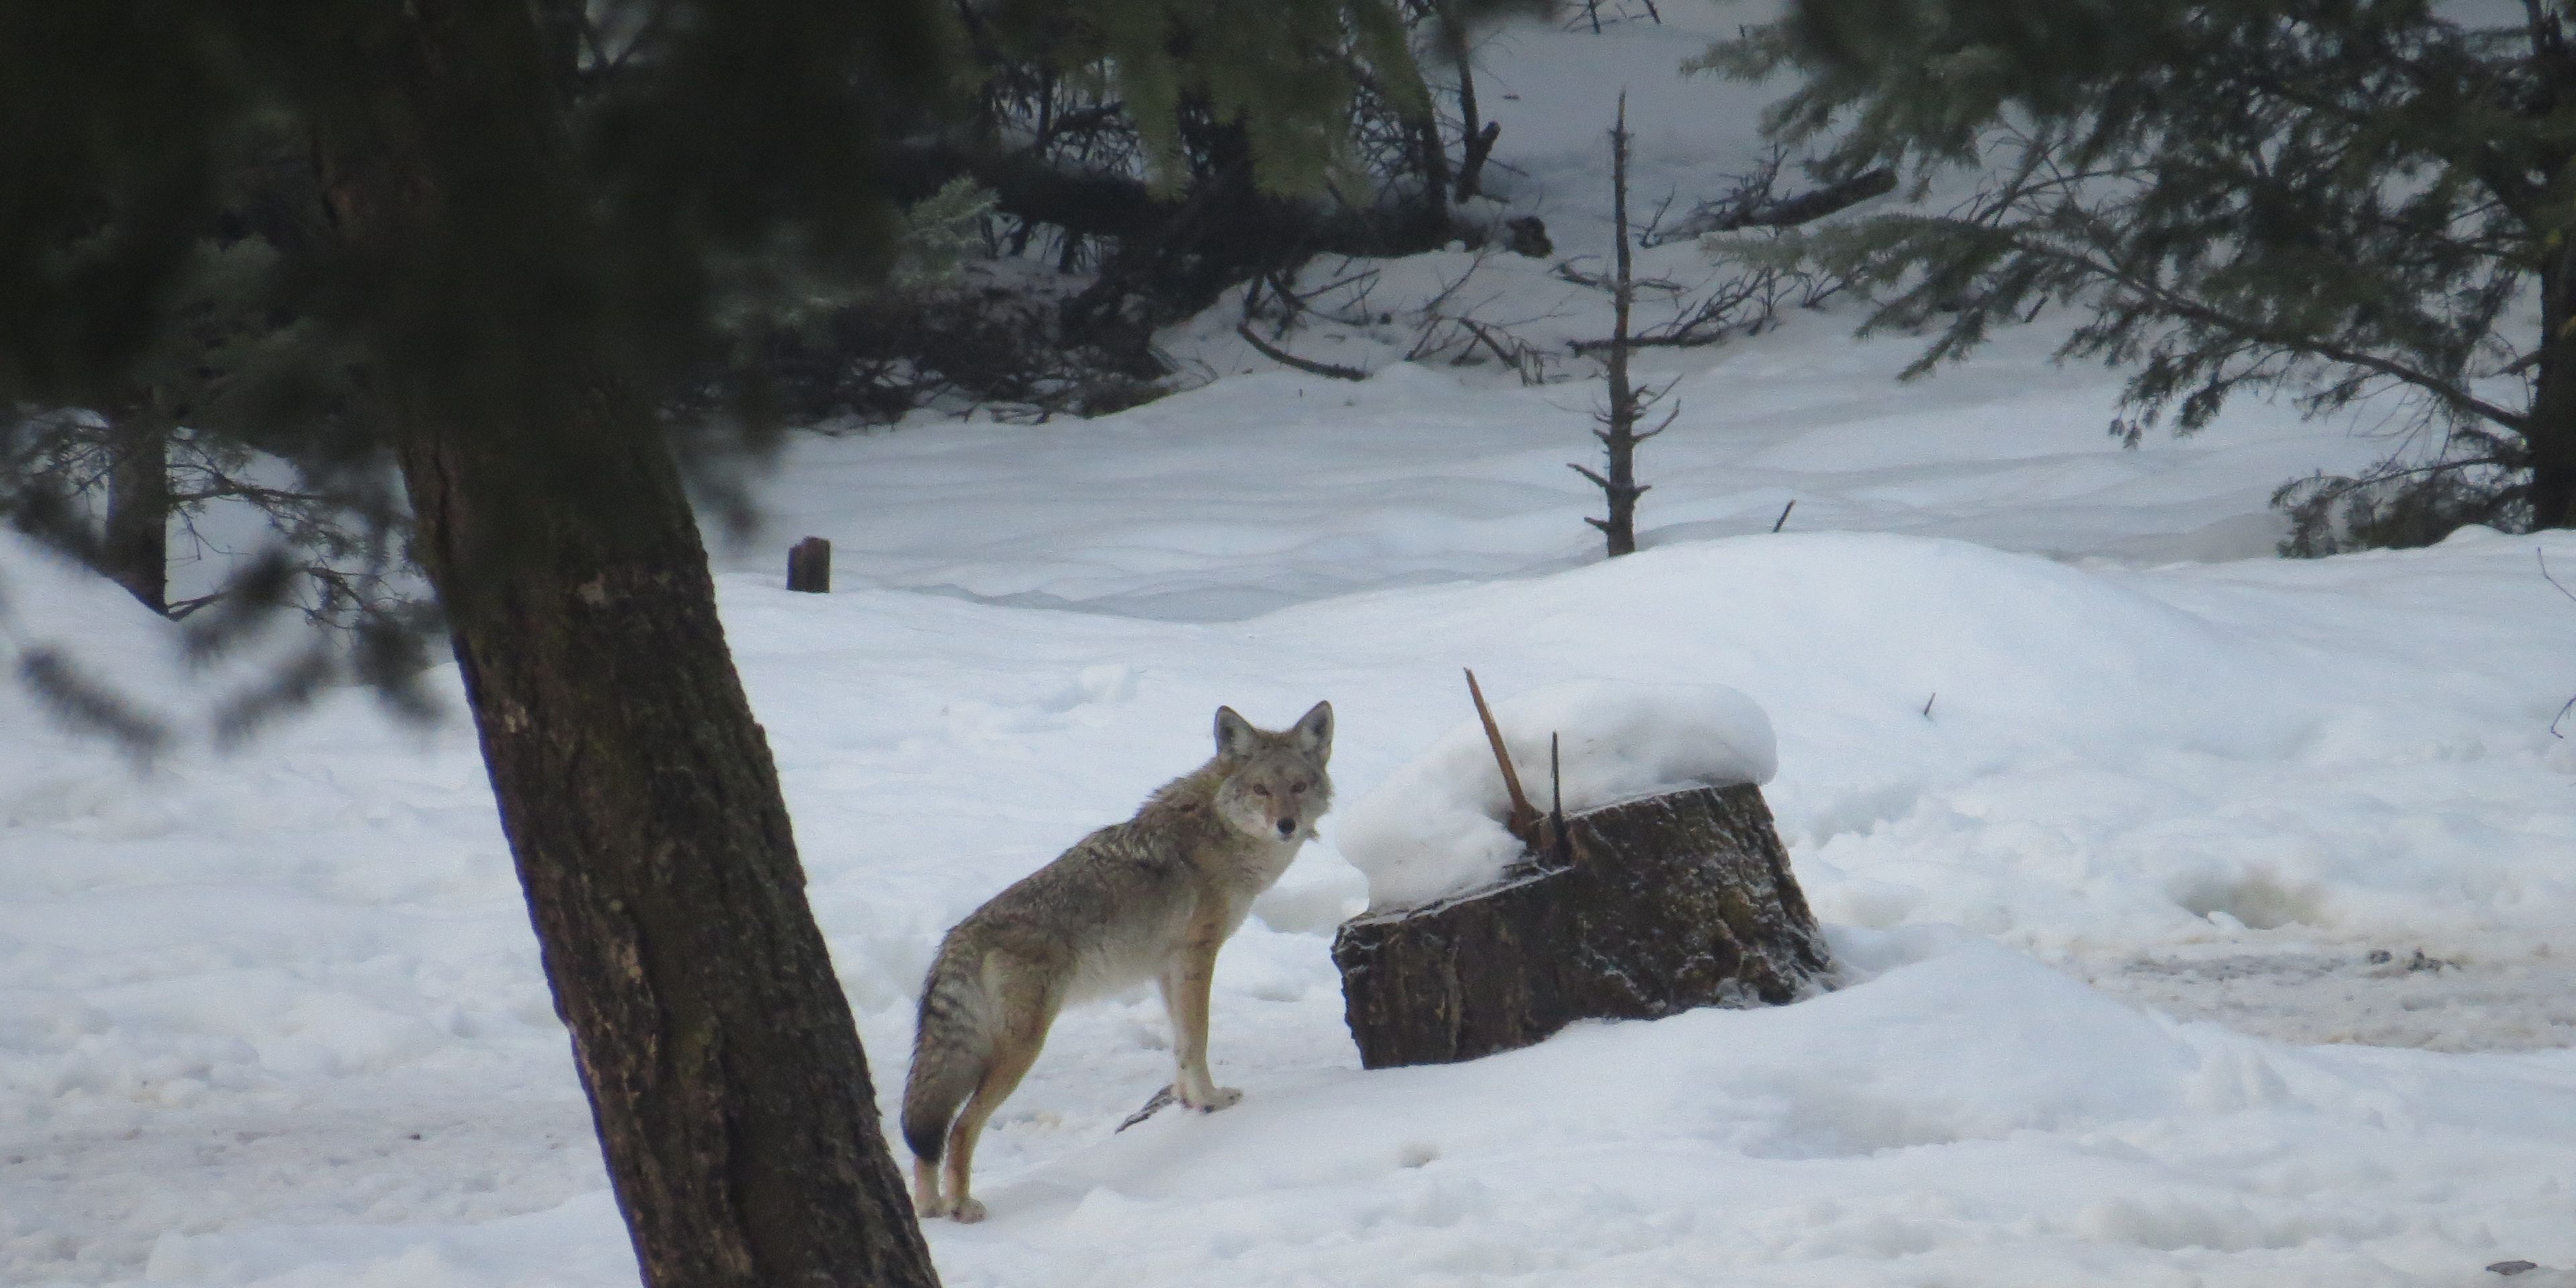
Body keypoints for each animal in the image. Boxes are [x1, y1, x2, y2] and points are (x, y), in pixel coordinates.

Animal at [900, 700, 1334, 1223]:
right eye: (1261, 790)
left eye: (1299, 787)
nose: (1286, 825)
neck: (1220, 832)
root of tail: (957, 939)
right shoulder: (1198, 955)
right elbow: (1199, 1039)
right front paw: (1213, 1101)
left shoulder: (1167, 968)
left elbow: (1181, 1045)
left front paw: (1192, 1104)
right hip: (1020, 1051)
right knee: (961, 1127)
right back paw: (963, 1207)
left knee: (927, 1140)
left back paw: (929, 1210)